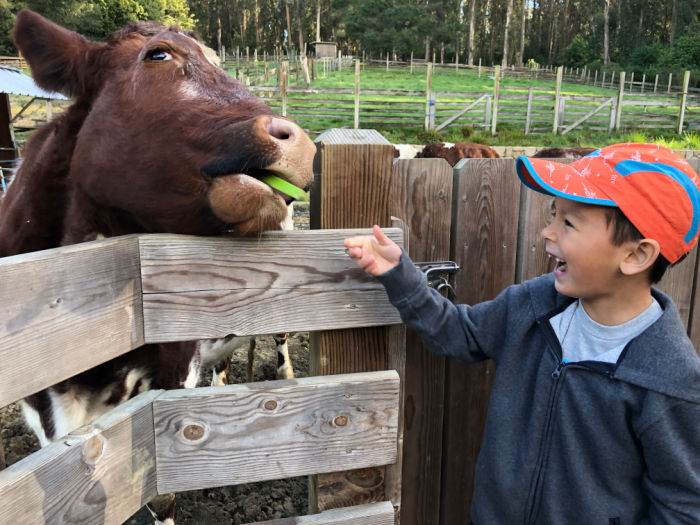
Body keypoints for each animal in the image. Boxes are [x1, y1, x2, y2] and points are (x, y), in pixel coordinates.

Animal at [2, 10, 314, 520]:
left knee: (281, 339)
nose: (301, 142)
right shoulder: (39, 404)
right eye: (158, 55)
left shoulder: (174, 369)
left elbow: (163, 488)